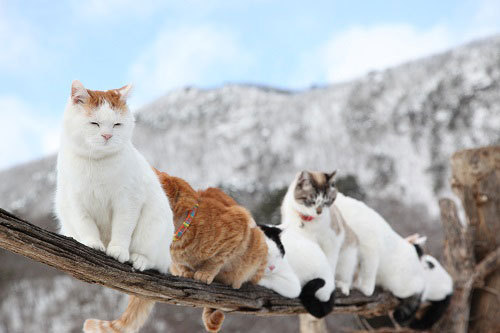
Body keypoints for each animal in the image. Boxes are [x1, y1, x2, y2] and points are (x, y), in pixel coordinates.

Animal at [54, 81, 174, 332]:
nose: (107, 135)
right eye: (95, 123)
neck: (97, 164)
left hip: (154, 226)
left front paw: (118, 250)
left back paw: (140, 259)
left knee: (156, 262)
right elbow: (86, 225)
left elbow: (122, 228)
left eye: (117, 124)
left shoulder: (128, 201)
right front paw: (92, 243)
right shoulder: (75, 200)